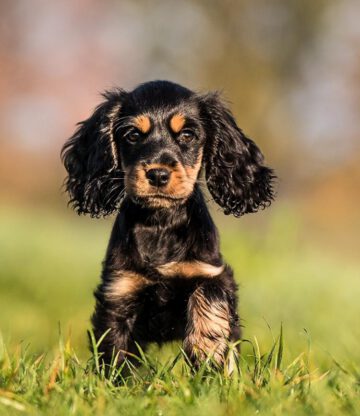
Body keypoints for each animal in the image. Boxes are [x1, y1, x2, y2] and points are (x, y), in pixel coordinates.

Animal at [62, 80, 276, 370]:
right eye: (132, 135)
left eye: (187, 135)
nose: (158, 174)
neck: (160, 223)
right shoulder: (119, 290)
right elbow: (114, 348)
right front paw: (113, 380)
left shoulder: (212, 272)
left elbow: (209, 298)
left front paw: (206, 350)